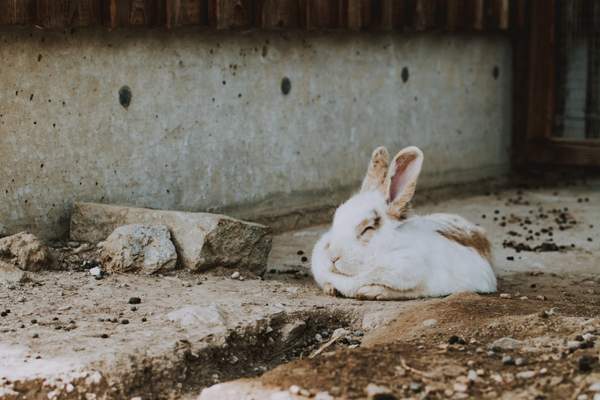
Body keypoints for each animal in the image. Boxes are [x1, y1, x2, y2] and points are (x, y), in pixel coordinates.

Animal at [312, 145, 494, 298]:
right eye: (336, 218)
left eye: (367, 229)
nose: (332, 257)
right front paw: (330, 289)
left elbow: (407, 290)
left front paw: (370, 292)